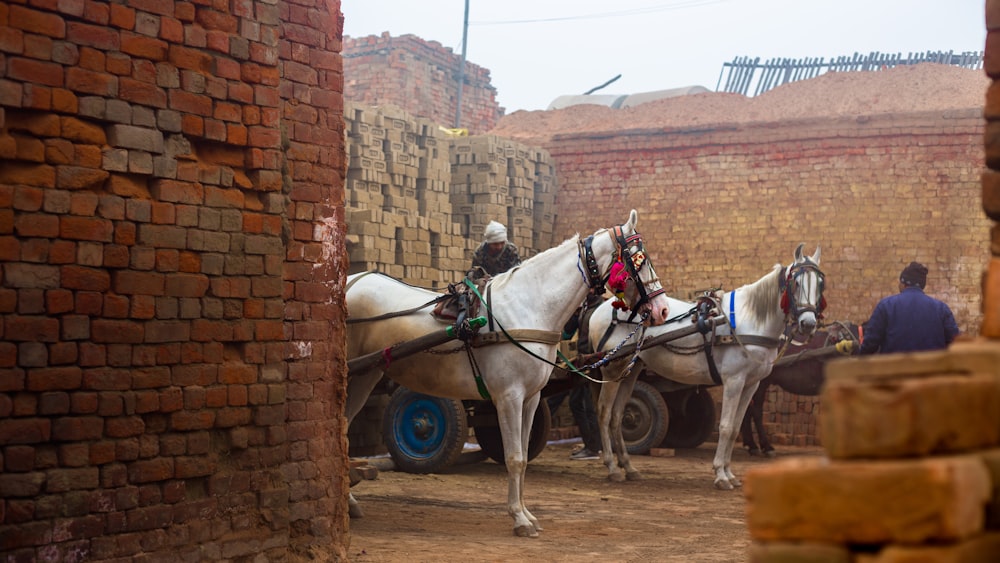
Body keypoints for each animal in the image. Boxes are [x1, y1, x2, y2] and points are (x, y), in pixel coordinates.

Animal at [344, 210, 672, 536]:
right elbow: (513, 457)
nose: (662, 310)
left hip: (364, 376)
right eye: (639, 259)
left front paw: (526, 513)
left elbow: (523, 456)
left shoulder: (531, 398)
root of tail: (349, 282)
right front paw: (519, 519)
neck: (529, 308)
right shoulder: (508, 397)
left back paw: (350, 502)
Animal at [588, 245, 824, 492]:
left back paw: (628, 466)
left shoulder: (751, 384)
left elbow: (736, 427)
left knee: (617, 415)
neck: (750, 321)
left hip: (630, 371)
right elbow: (727, 427)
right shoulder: (734, 381)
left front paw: (730, 473)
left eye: (820, 283)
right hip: (612, 370)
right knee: (604, 413)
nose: (808, 324)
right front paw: (721, 474)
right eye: (795, 283)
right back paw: (612, 467)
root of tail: (602, 308)